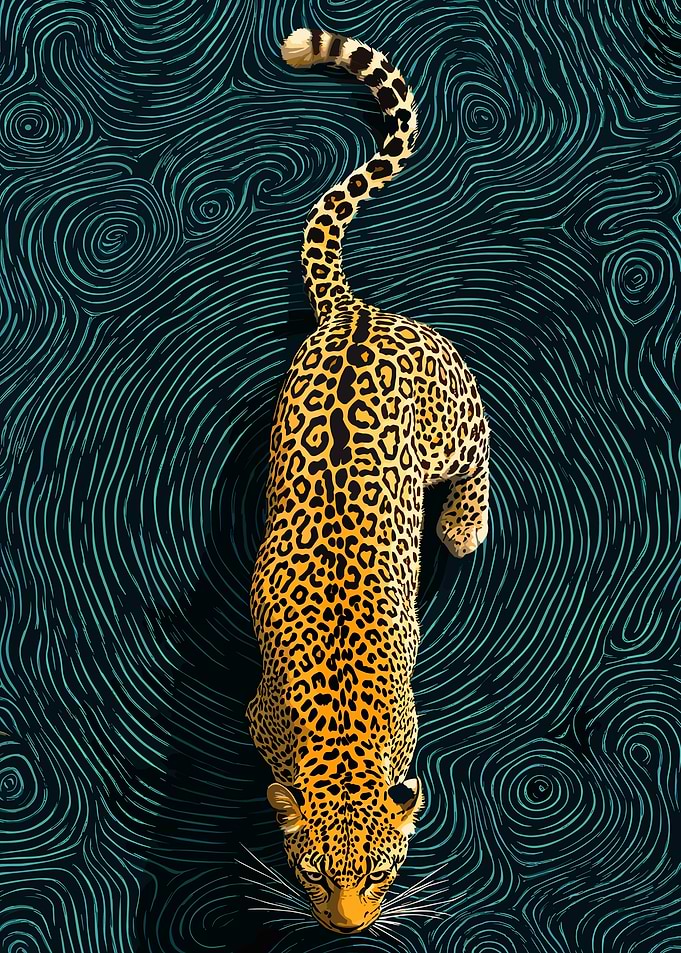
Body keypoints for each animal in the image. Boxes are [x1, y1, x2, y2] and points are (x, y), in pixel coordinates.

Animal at [246, 27, 490, 935]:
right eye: (313, 873)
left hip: (447, 422)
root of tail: (351, 313)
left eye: (382, 871)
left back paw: (461, 526)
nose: (346, 927)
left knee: (481, 436)